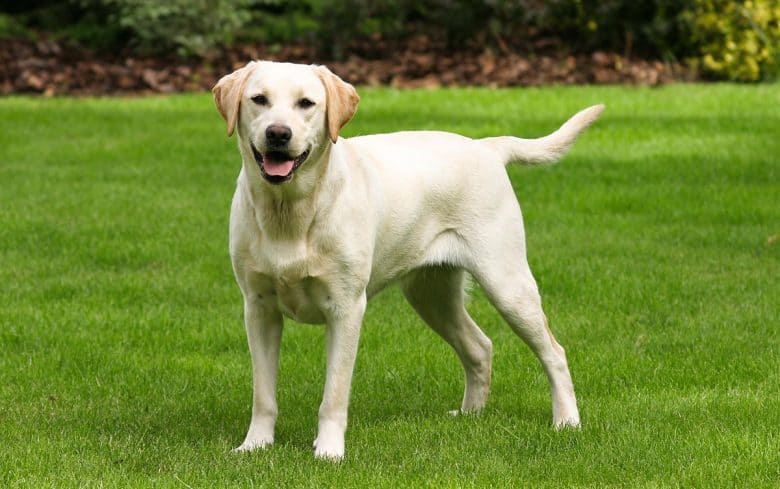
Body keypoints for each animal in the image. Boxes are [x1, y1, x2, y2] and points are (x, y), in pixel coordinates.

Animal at [213, 60, 604, 458]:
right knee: (480, 347)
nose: (278, 134)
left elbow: (334, 394)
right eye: (259, 99)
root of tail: (486, 147)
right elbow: (263, 394)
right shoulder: (258, 308)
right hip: (431, 295)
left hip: (507, 284)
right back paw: (470, 415)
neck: (290, 212)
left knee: (554, 352)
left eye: (306, 103)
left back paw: (567, 421)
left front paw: (329, 451)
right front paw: (255, 445)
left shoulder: (345, 308)